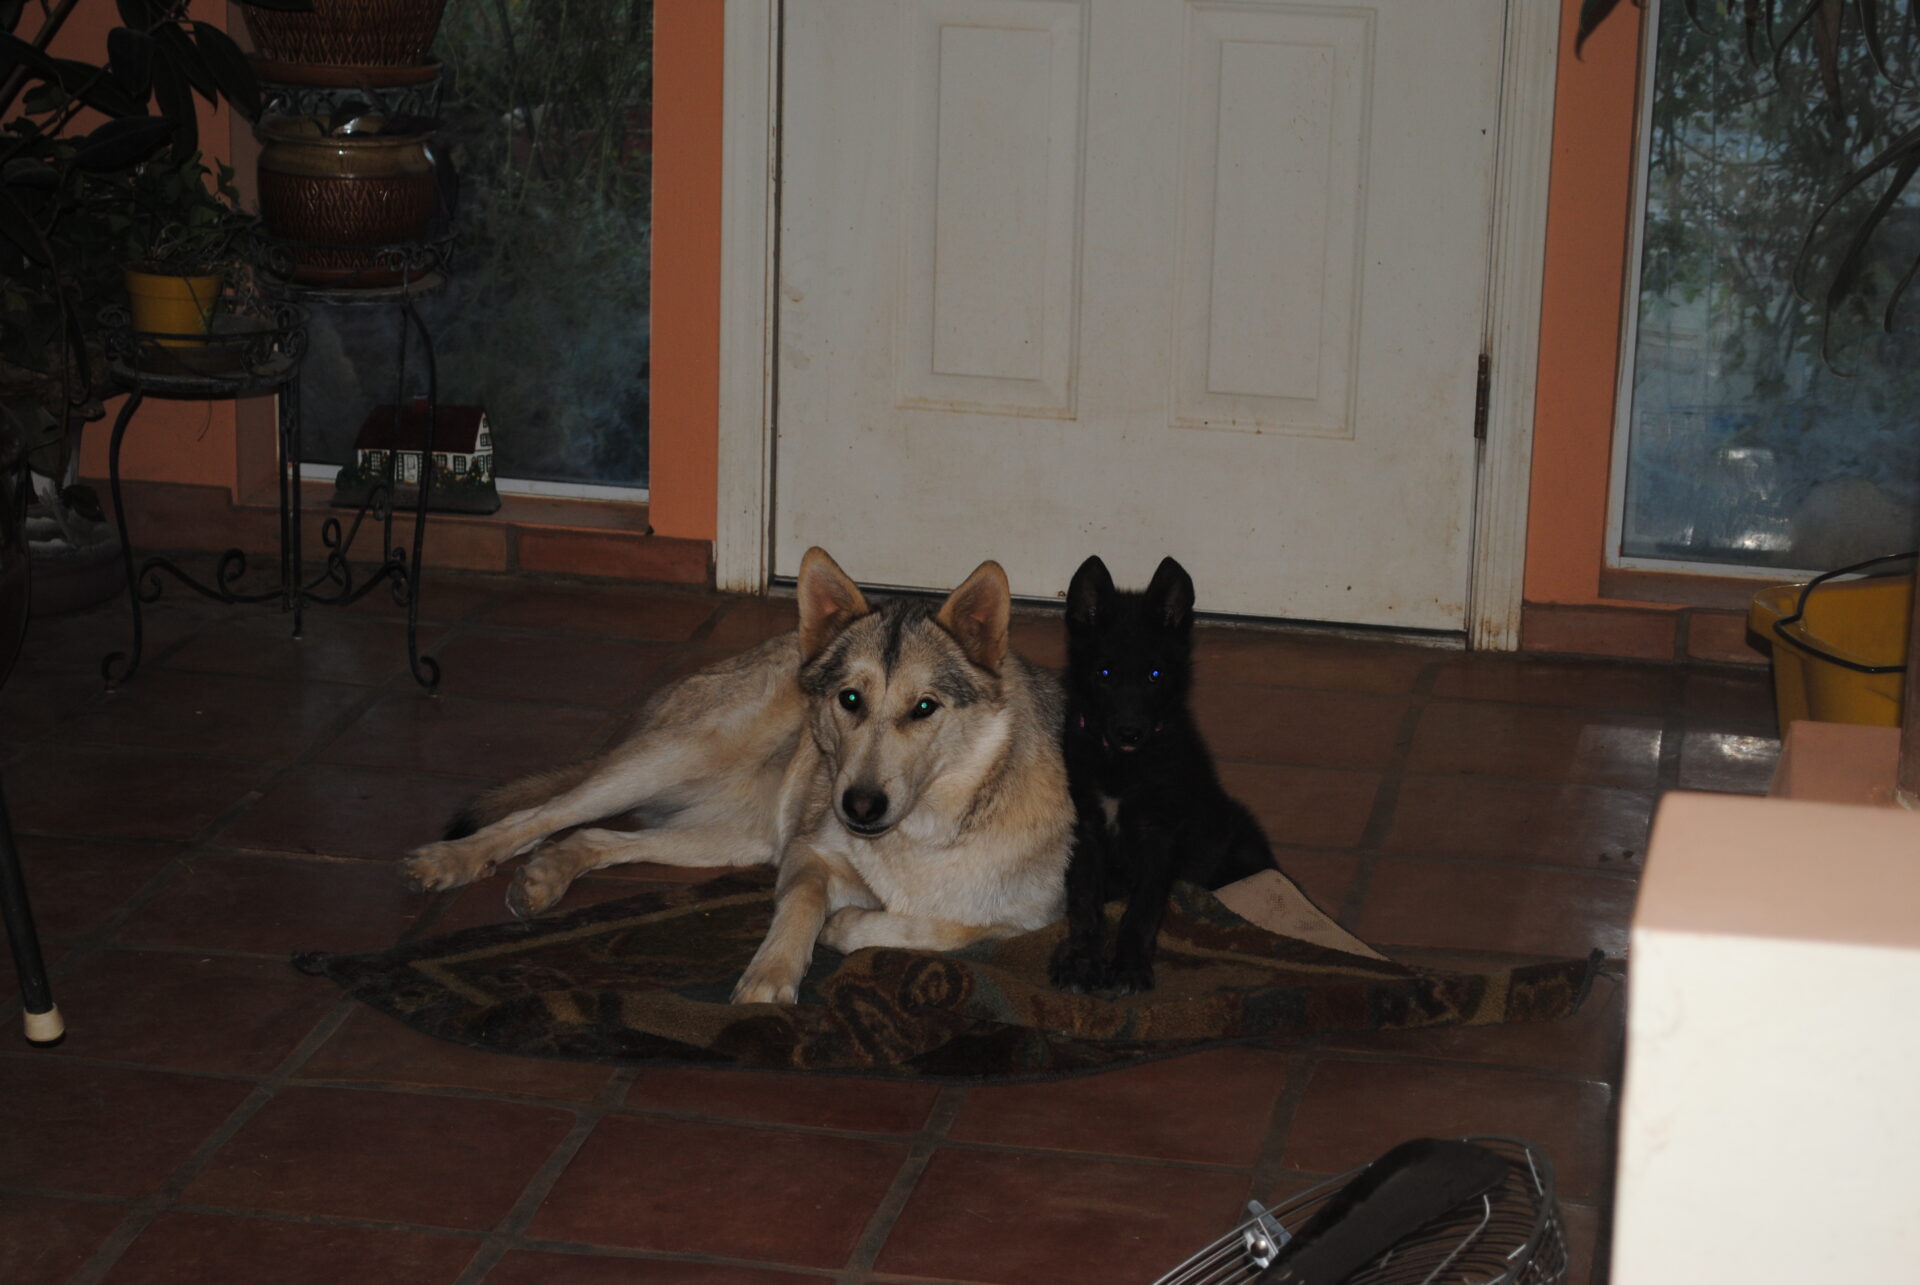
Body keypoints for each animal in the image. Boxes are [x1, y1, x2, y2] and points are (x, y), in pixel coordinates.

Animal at [399, 541, 1075, 998]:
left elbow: (947, 928)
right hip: (677, 760)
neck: (930, 832)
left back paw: (544, 877)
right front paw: (771, 976)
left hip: (738, 837)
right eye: (850, 699)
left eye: (925, 708)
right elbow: (802, 905)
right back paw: (451, 861)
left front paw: (852, 924)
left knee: (595, 837)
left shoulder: (1030, 921)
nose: (858, 807)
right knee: (540, 814)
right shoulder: (809, 852)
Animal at [1052, 553, 1274, 991]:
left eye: (1155, 675)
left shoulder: (1160, 833)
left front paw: (1130, 966)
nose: (1130, 732)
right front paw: (1082, 960)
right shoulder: (1085, 827)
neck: (1122, 764)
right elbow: (1084, 899)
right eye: (1104, 674)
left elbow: (1143, 906)